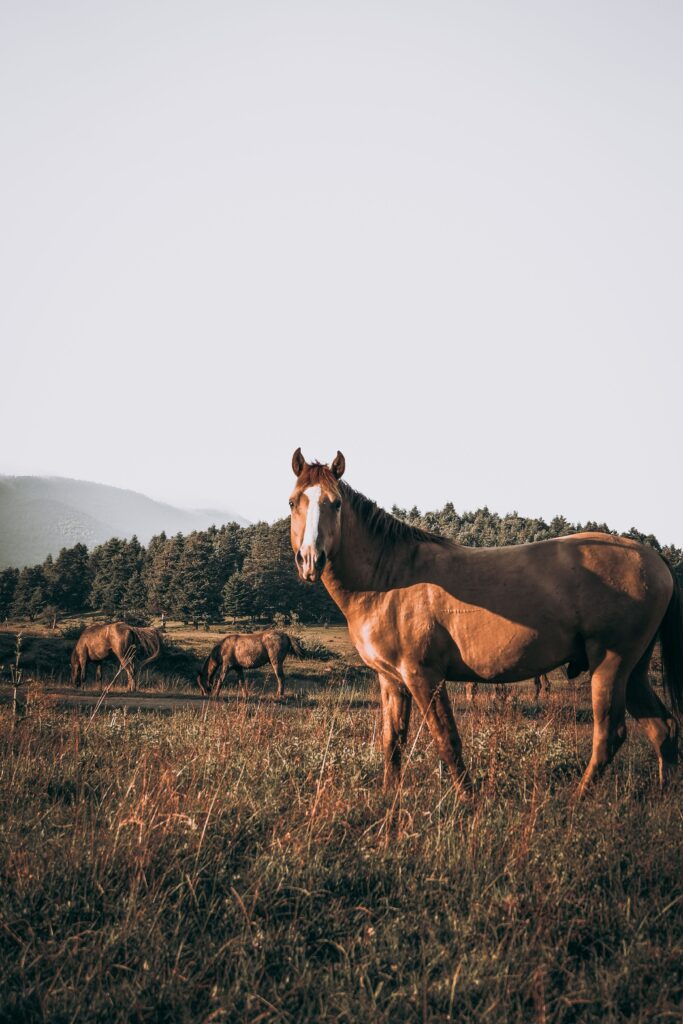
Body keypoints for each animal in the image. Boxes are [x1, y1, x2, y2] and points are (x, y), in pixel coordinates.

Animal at [288, 449, 682, 801]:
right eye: (293, 502)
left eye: (336, 503)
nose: (310, 560)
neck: (391, 579)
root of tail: (652, 557)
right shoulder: (392, 680)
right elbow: (393, 743)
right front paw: (389, 799)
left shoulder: (423, 676)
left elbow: (447, 740)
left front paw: (468, 799)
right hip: (633, 671)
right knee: (661, 729)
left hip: (611, 665)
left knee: (610, 735)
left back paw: (576, 800)